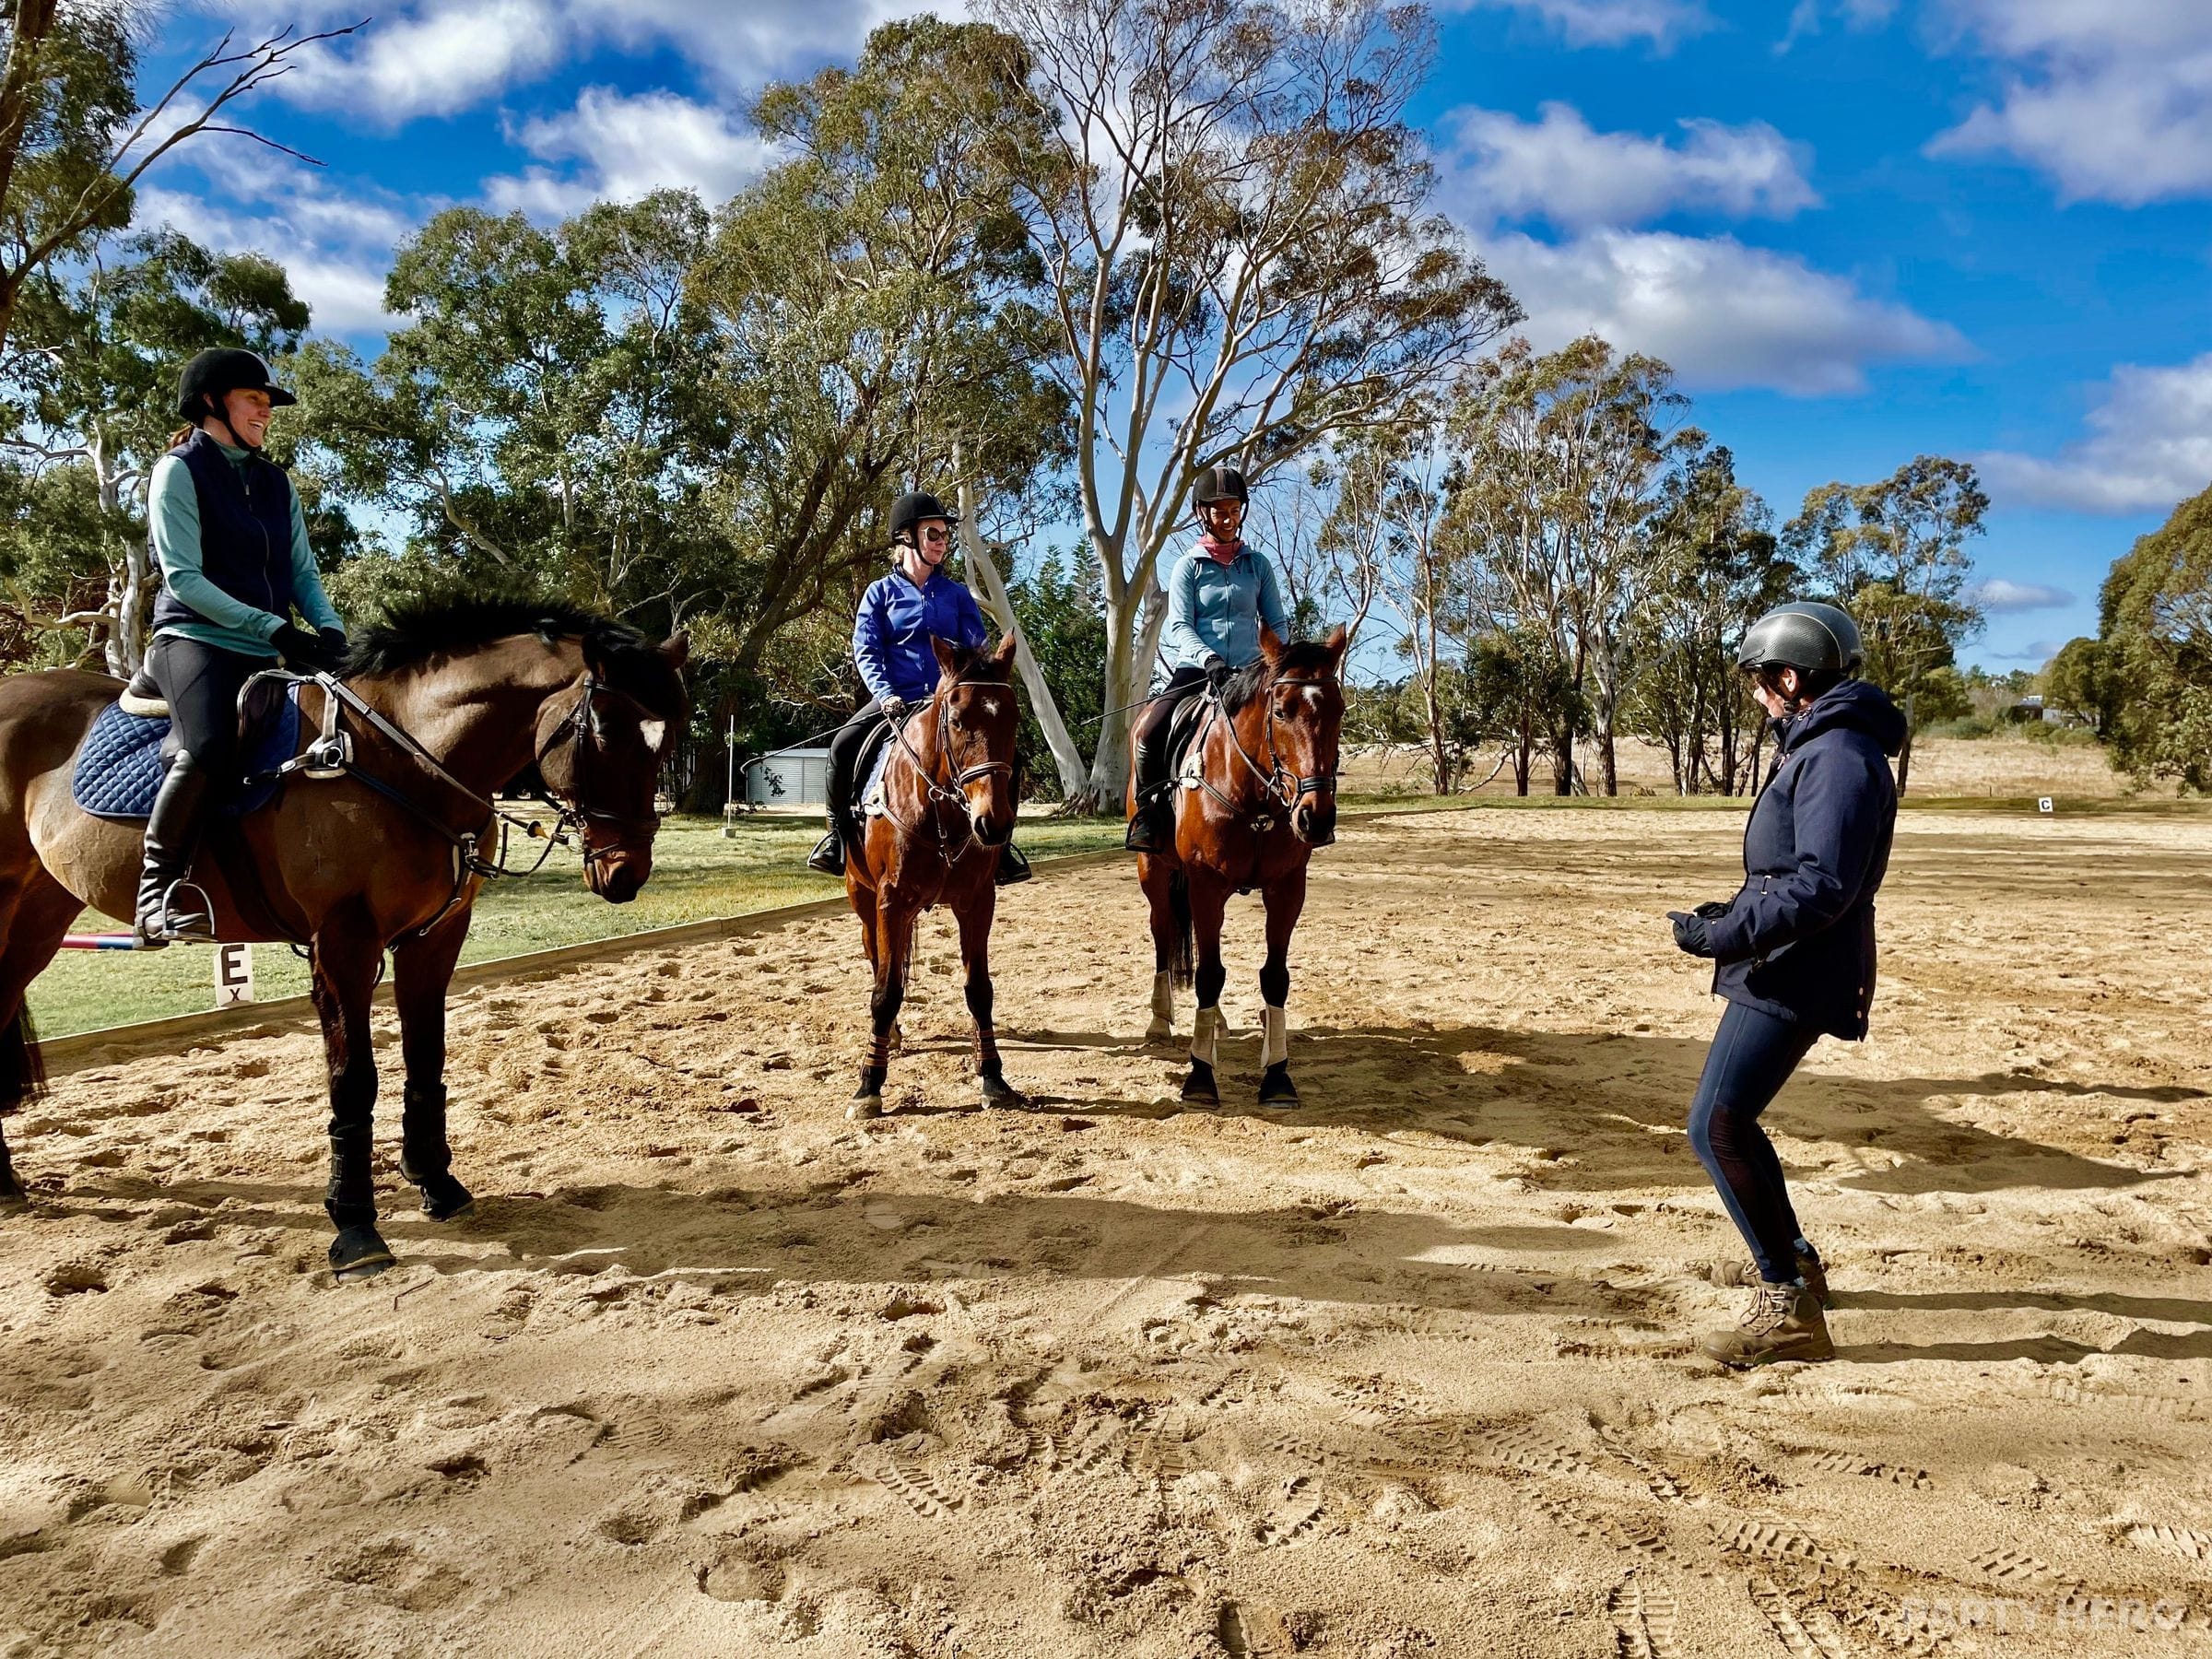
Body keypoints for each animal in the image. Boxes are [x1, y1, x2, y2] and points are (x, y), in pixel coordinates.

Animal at [0, 593, 688, 1278]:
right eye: (605, 732)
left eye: (666, 741)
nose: (626, 874)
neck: (400, 757)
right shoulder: (343, 945)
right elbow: (353, 1078)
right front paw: (356, 1224)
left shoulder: (436, 936)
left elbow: (427, 1055)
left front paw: (436, 1182)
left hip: (41, 912)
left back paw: (7, 1184)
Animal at [843, 634, 1025, 1121]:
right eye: (958, 720)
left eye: (1015, 719)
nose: (993, 824)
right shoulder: (890, 902)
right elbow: (886, 991)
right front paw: (869, 1086)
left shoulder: (977, 902)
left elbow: (979, 990)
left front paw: (992, 1077)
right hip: (864, 899)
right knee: (875, 959)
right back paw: (891, 1036)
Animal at [1131, 625, 1346, 1107]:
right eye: (1281, 712)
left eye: (1340, 710)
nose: (1317, 818)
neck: (1255, 795)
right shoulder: (1205, 885)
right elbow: (1209, 975)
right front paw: (1200, 1076)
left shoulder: (1287, 889)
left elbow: (1275, 977)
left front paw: (1278, 1074)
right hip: (1153, 871)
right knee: (1161, 933)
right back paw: (1160, 1022)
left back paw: (1216, 1026)